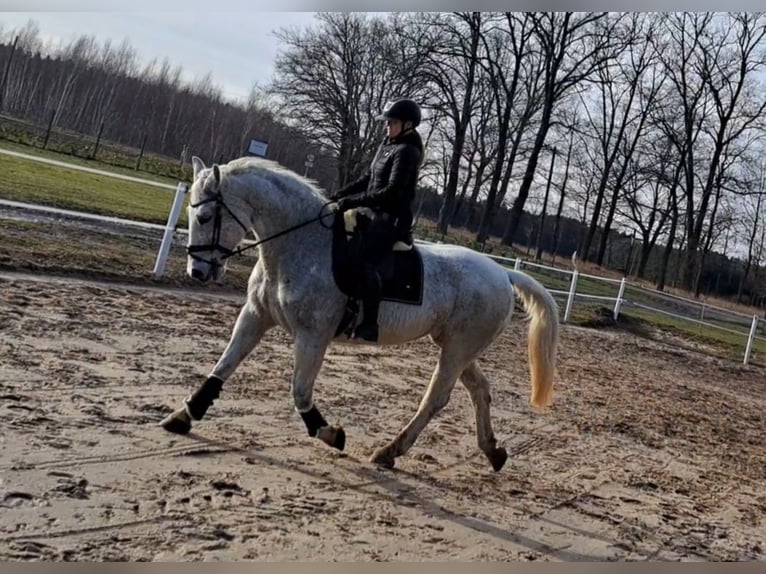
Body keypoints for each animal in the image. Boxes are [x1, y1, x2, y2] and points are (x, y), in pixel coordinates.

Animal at [162, 156, 560, 472]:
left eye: (205, 215)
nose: (198, 272)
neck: (301, 245)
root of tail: (503, 273)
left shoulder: (312, 335)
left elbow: (300, 391)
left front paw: (329, 433)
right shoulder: (255, 316)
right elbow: (222, 367)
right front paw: (184, 415)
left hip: (457, 348)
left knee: (435, 399)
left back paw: (389, 451)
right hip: (457, 346)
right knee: (480, 390)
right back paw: (492, 451)